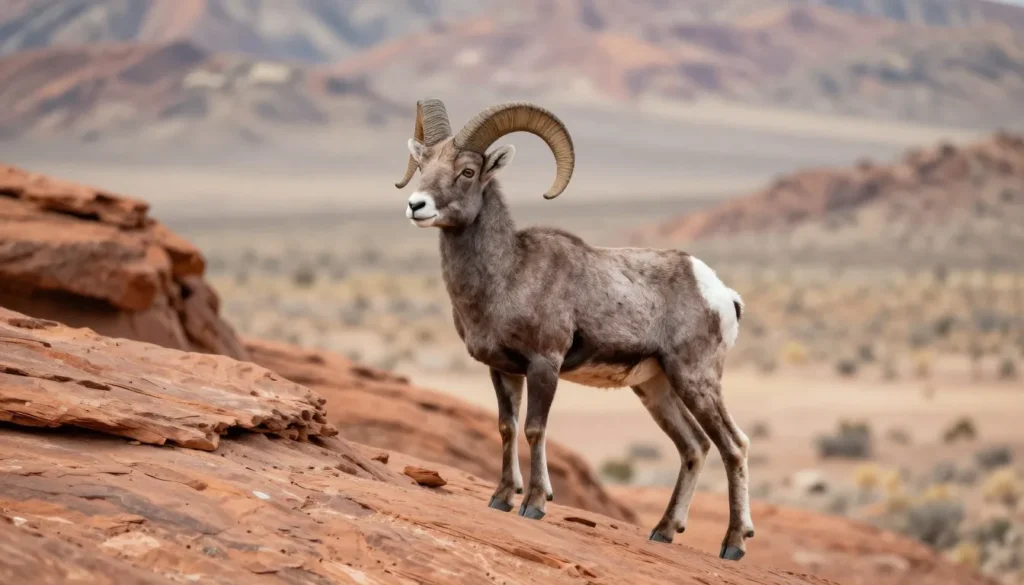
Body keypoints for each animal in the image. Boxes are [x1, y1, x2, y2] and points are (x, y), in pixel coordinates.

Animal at [394, 99, 754, 561]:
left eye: (468, 171)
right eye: (423, 164)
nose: (416, 205)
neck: (508, 274)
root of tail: (722, 294)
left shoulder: (544, 365)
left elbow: (534, 429)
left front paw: (533, 505)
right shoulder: (503, 370)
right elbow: (507, 428)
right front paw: (500, 499)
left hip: (696, 379)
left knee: (733, 445)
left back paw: (733, 544)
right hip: (656, 387)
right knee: (694, 447)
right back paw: (663, 531)